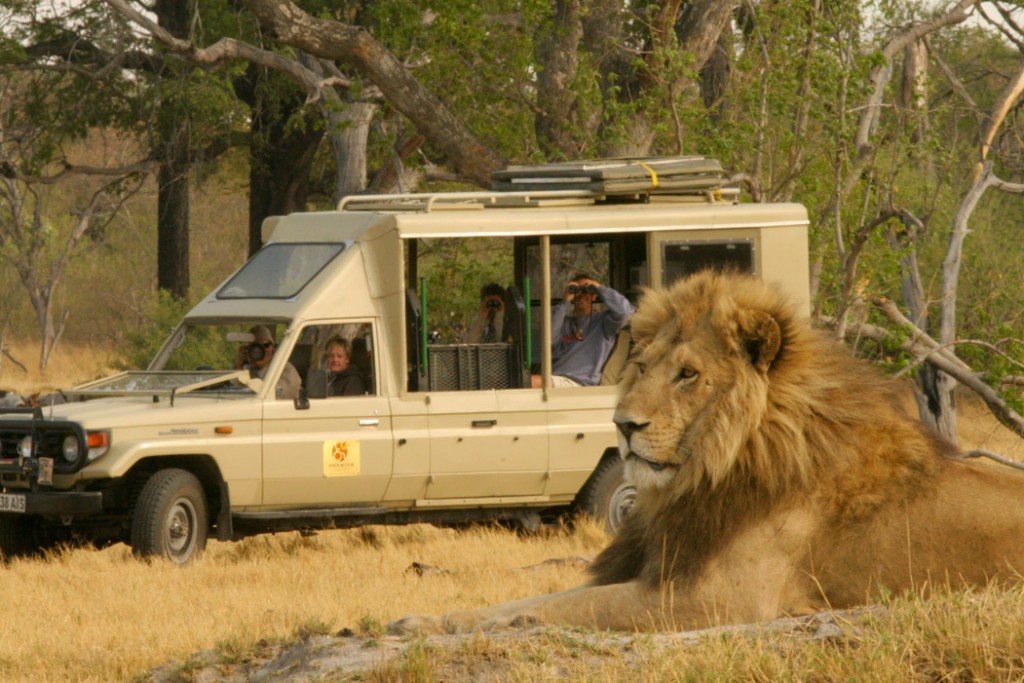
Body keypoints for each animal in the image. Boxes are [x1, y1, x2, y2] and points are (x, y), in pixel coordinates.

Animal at [387, 268, 1024, 634]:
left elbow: (573, 607)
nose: (622, 424)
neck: (710, 470)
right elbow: (543, 595)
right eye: (642, 366)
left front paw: (517, 621)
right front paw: (422, 619)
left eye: (688, 374)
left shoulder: (721, 599)